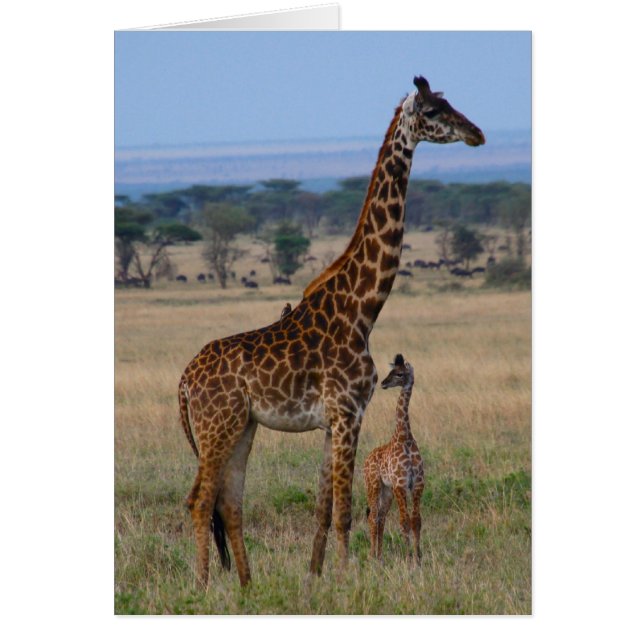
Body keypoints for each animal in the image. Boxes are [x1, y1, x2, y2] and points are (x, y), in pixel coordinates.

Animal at [363, 354, 424, 562]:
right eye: (391, 371)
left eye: (399, 374)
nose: (383, 383)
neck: (404, 438)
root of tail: (366, 459)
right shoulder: (400, 483)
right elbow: (404, 521)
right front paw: (408, 556)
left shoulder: (417, 484)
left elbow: (416, 520)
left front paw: (417, 557)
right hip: (373, 484)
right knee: (373, 516)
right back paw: (372, 555)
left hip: (386, 490)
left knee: (380, 517)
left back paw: (379, 555)